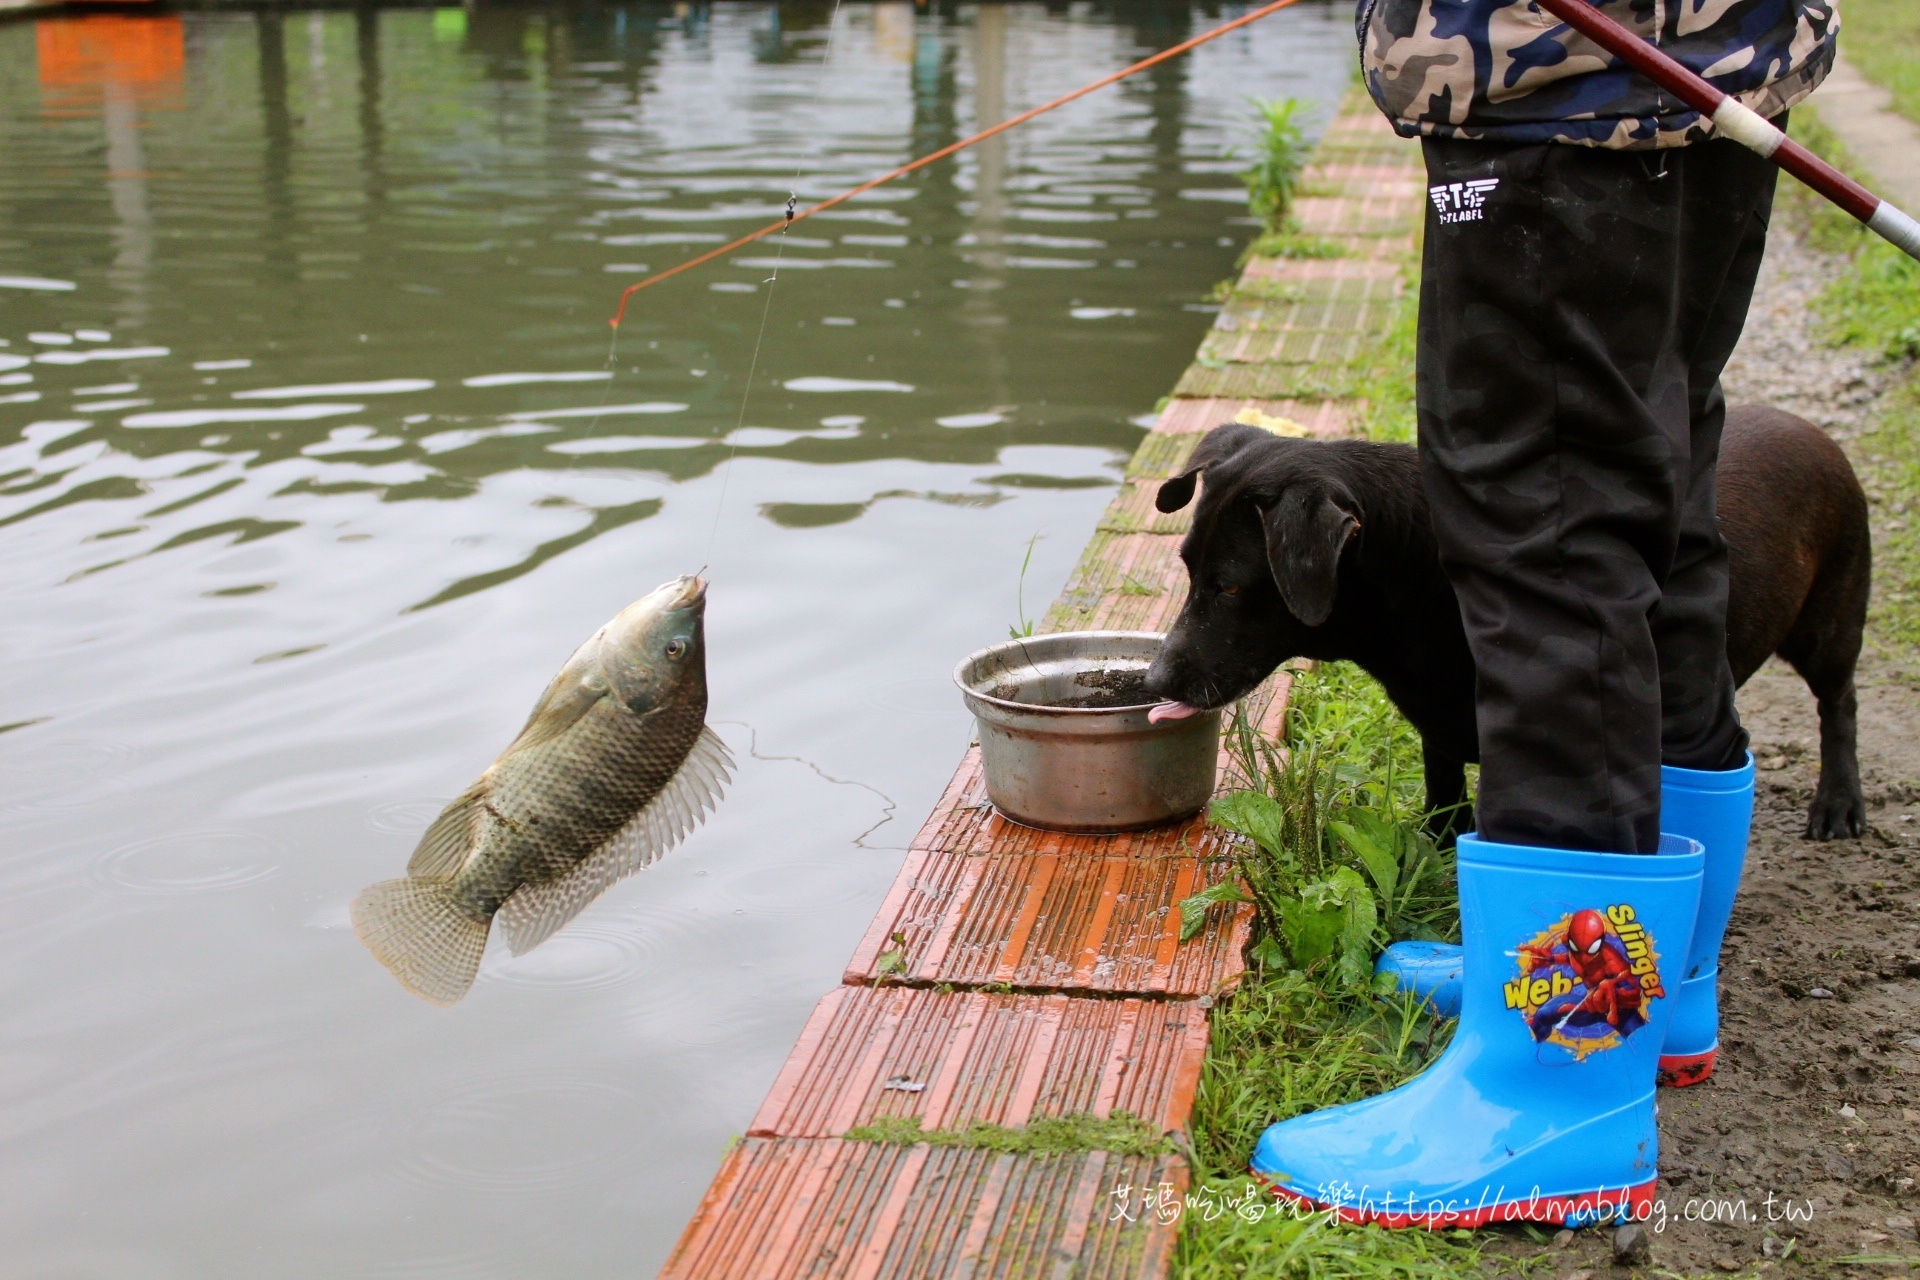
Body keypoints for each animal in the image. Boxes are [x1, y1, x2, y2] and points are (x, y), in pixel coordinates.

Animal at [1144, 402, 1866, 840]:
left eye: (1232, 586)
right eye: (1185, 567)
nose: (1154, 679)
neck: (1421, 576)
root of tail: (1807, 426)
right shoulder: (1438, 728)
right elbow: (1443, 807)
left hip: (1829, 624)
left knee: (1840, 704)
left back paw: (1839, 802)